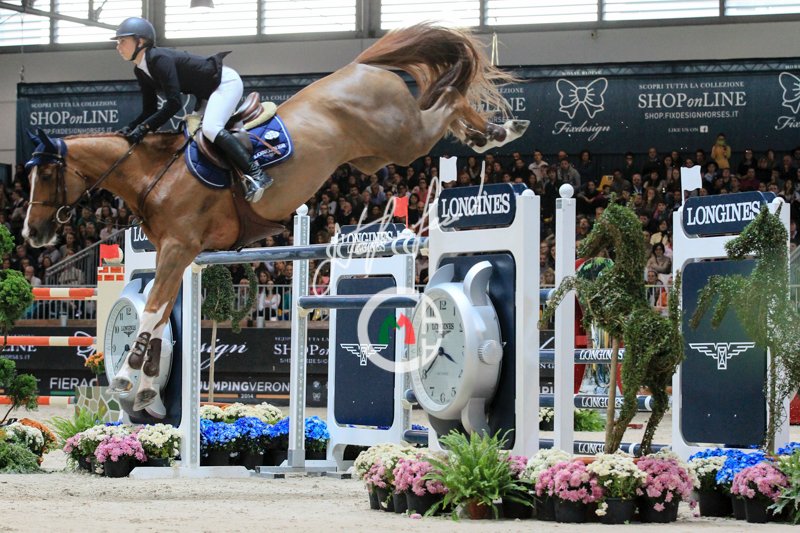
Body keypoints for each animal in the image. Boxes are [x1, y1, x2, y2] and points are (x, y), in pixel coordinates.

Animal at [22, 24, 529, 412]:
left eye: (45, 174)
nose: (32, 233)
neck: (154, 175)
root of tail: (362, 64)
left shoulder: (178, 249)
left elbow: (150, 312)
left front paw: (128, 380)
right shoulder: (176, 254)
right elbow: (160, 314)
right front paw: (146, 387)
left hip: (401, 139)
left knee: (445, 101)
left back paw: (500, 130)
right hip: (378, 152)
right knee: (445, 102)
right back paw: (492, 131)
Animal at [541, 201, 683, 454]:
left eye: (599, 225)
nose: (582, 250)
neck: (623, 276)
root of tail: (672, 340)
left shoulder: (598, 305)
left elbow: (574, 282)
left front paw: (547, 312)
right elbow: (577, 283)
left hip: (635, 366)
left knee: (631, 405)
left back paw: (614, 445)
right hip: (655, 375)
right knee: (658, 405)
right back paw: (642, 449)